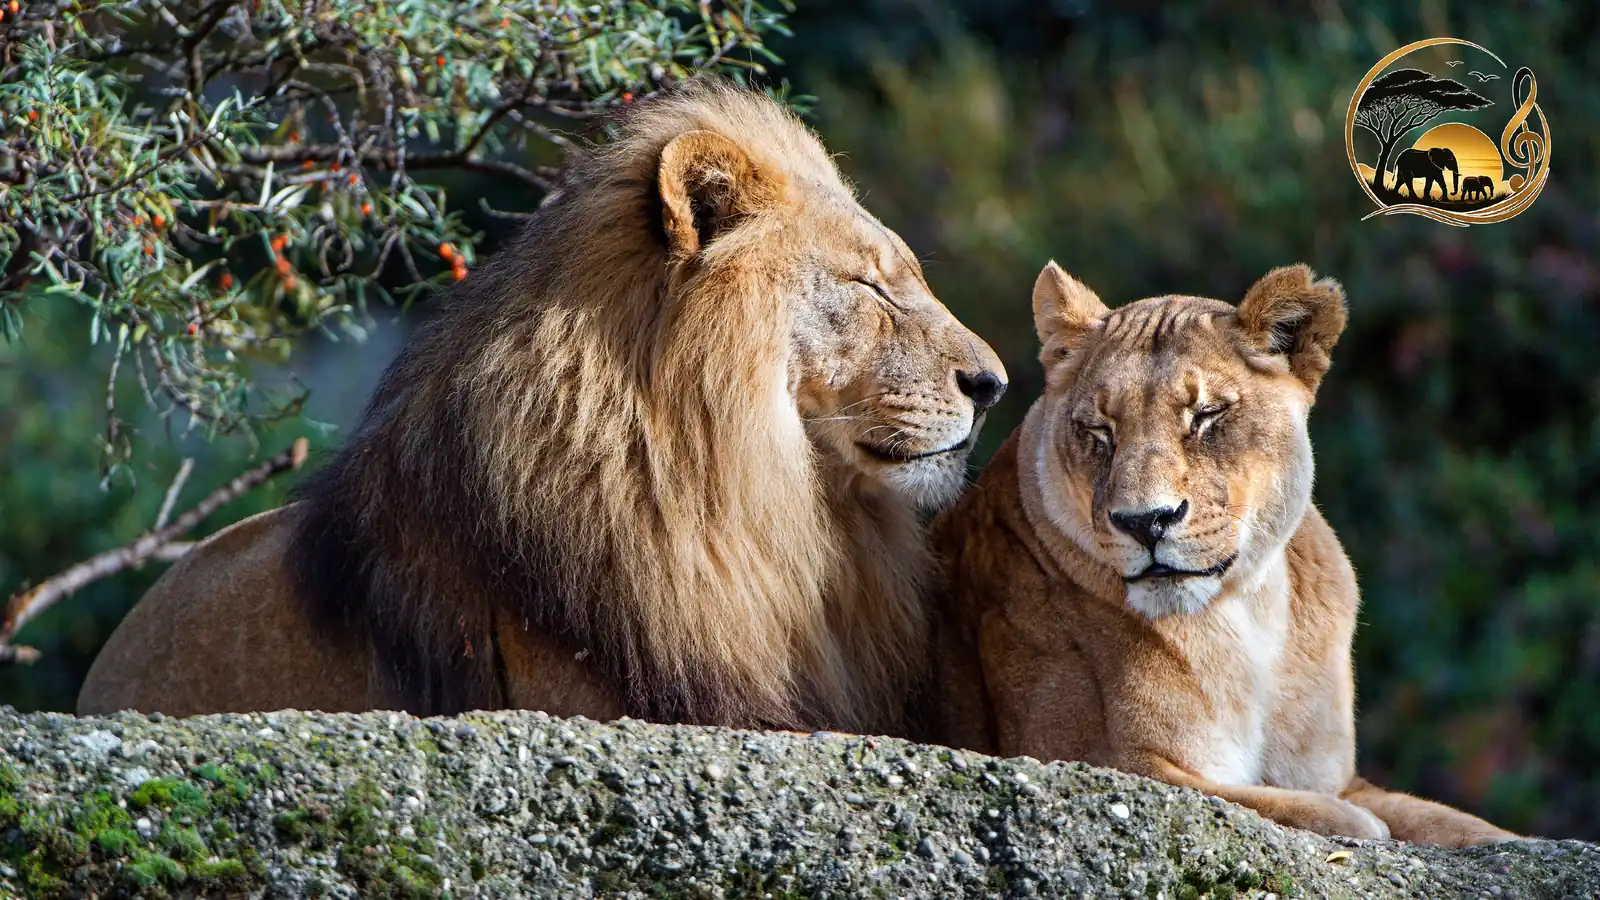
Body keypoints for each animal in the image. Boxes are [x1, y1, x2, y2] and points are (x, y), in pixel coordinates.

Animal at [928, 261, 1521, 847]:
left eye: (1206, 415)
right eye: (1100, 429)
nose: (1145, 521)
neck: (1246, 612)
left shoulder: (1340, 776)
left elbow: (1452, 821)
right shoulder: (1099, 760)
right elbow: (1264, 802)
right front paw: (1352, 823)